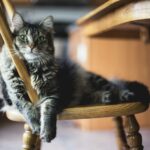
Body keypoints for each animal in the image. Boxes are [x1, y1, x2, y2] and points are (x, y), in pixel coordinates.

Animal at [0, 12, 149, 142]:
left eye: (40, 38)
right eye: (23, 37)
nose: (31, 46)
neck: (31, 67)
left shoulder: (51, 94)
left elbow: (48, 113)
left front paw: (47, 132)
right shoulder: (16, 92)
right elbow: (27, 108)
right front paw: (36, 125)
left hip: (95, 79)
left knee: (115, 86)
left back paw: (124, 95)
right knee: (93, 95)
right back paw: (106, 97)